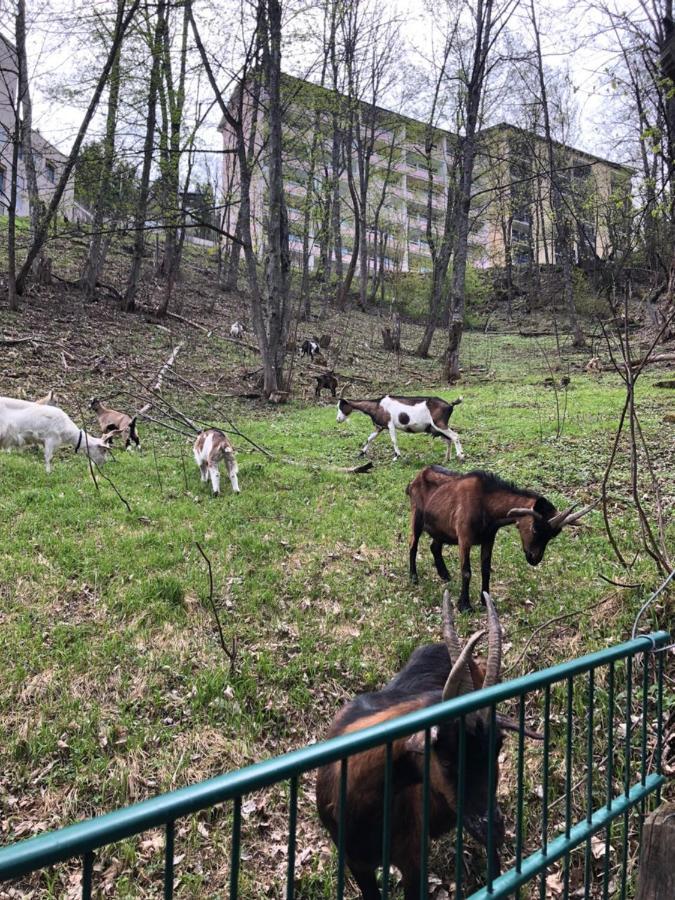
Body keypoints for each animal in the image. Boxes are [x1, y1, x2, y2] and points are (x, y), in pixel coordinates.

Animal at [406, 464, 596, 612]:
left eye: (553, 535)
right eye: (535, 528)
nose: (534, 558)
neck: (486, 502)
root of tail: (417, 477)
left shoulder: (489, 538)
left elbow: (485, 569)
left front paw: (485, 601)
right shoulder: (464, 537)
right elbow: (466, 571)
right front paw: (465, 606)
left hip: (441, 526)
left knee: (434, 546)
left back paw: (445, 575)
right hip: (417, 514)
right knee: (413, 544)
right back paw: (414, 577)